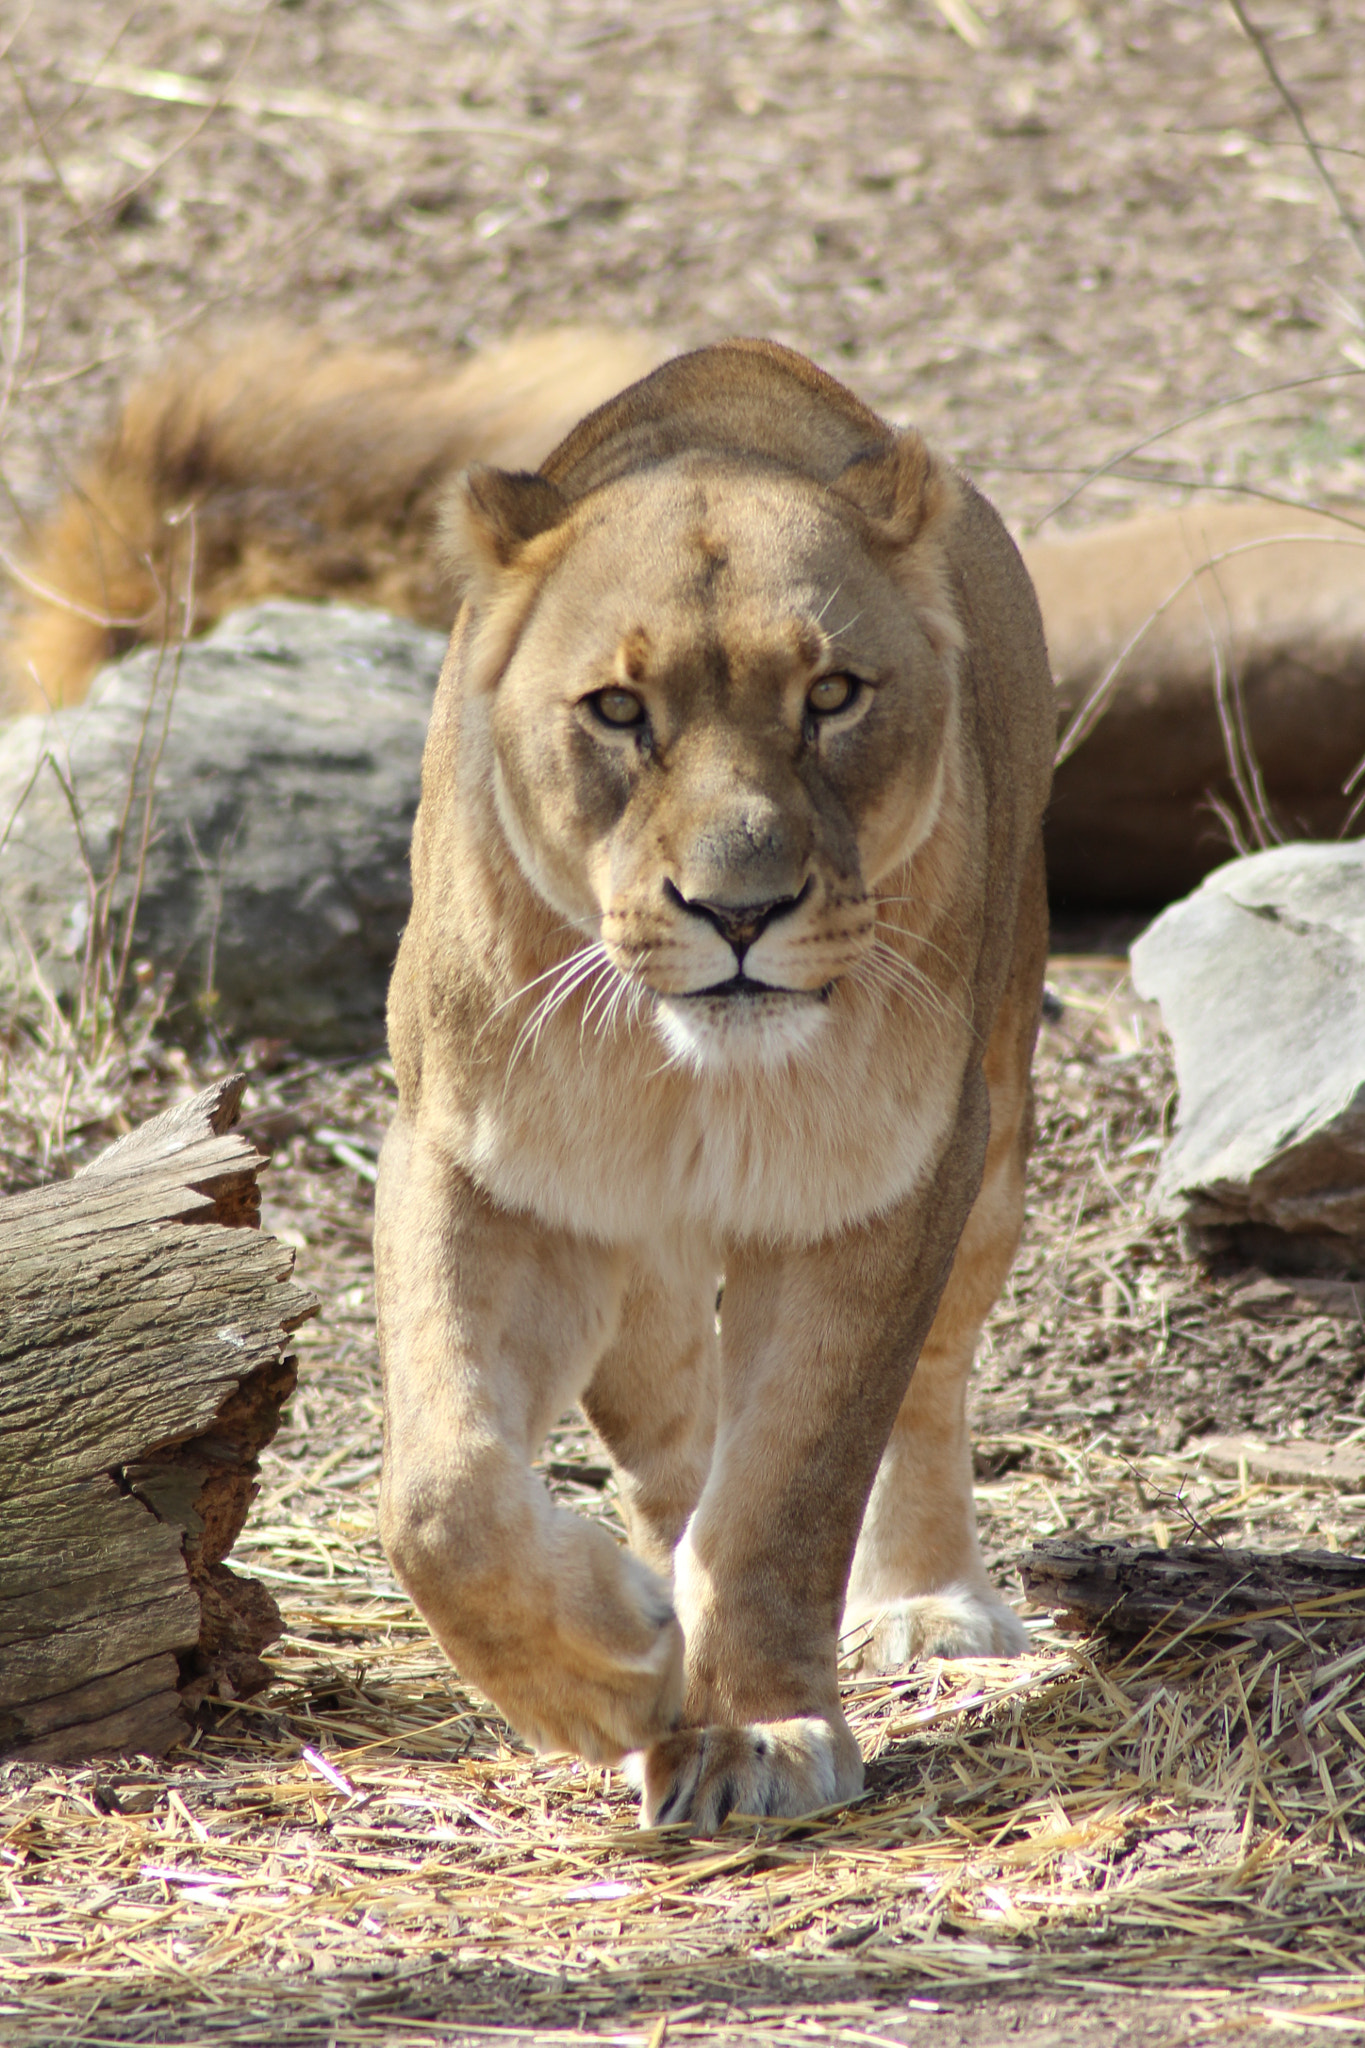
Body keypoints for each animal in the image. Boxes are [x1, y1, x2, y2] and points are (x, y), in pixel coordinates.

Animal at [374, 338, 1055, 1829]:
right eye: (620, 711)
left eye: (833, 695)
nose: (740, 909)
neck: (692, 1076)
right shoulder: (480, 1166)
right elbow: (443, 1492)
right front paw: (611, 1673)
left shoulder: (881, 1186)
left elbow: (794, 1481)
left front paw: (758, 1729)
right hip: (643, 1265)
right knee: (670, 1436)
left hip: (994, 1140)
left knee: (925, 1382)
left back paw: (923, 1599)